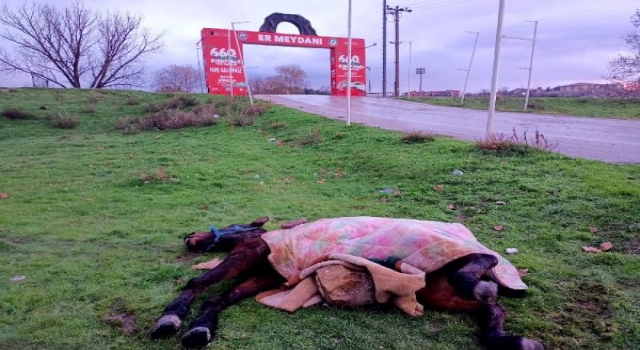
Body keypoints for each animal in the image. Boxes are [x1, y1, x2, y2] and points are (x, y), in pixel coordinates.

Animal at [150, 216, 544, 350]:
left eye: (214, 229)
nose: (190, 239)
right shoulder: (262, 271)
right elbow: (213, 296)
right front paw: (196, 327)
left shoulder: (250, 256)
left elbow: (200, 285)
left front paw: (175, 319)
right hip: (439, 290)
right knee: (490, 304)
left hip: (443, 264)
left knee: (485, 269)